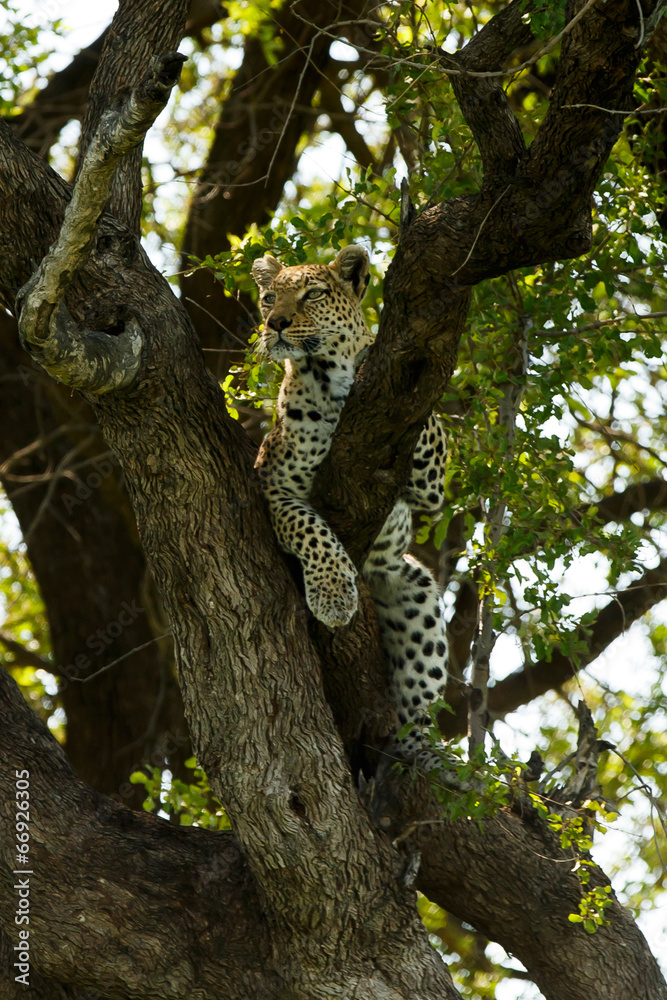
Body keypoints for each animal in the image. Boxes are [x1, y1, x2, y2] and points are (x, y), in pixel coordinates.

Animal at [252, 244, 449, 755]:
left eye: (313, 294)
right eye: (268, 298)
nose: (276, 323)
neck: (324, 378)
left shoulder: (431, 485)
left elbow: (425, 417)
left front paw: (368, 360)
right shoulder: (273, 486)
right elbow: (312, 530)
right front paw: (334, 595)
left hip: (414, 585)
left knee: (419, 697)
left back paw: (421, 753)